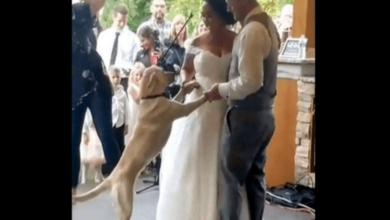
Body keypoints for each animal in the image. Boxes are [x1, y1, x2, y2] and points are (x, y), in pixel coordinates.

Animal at [72, 64, 209, 219]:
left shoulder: (173, 102)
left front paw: (191, 85)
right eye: (162, 71)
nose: (175, 72)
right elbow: (195, 102)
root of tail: (111, 178)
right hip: (126, 205)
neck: (148, 98)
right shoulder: (180, 109)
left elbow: (180, 93)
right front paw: (209, 93)